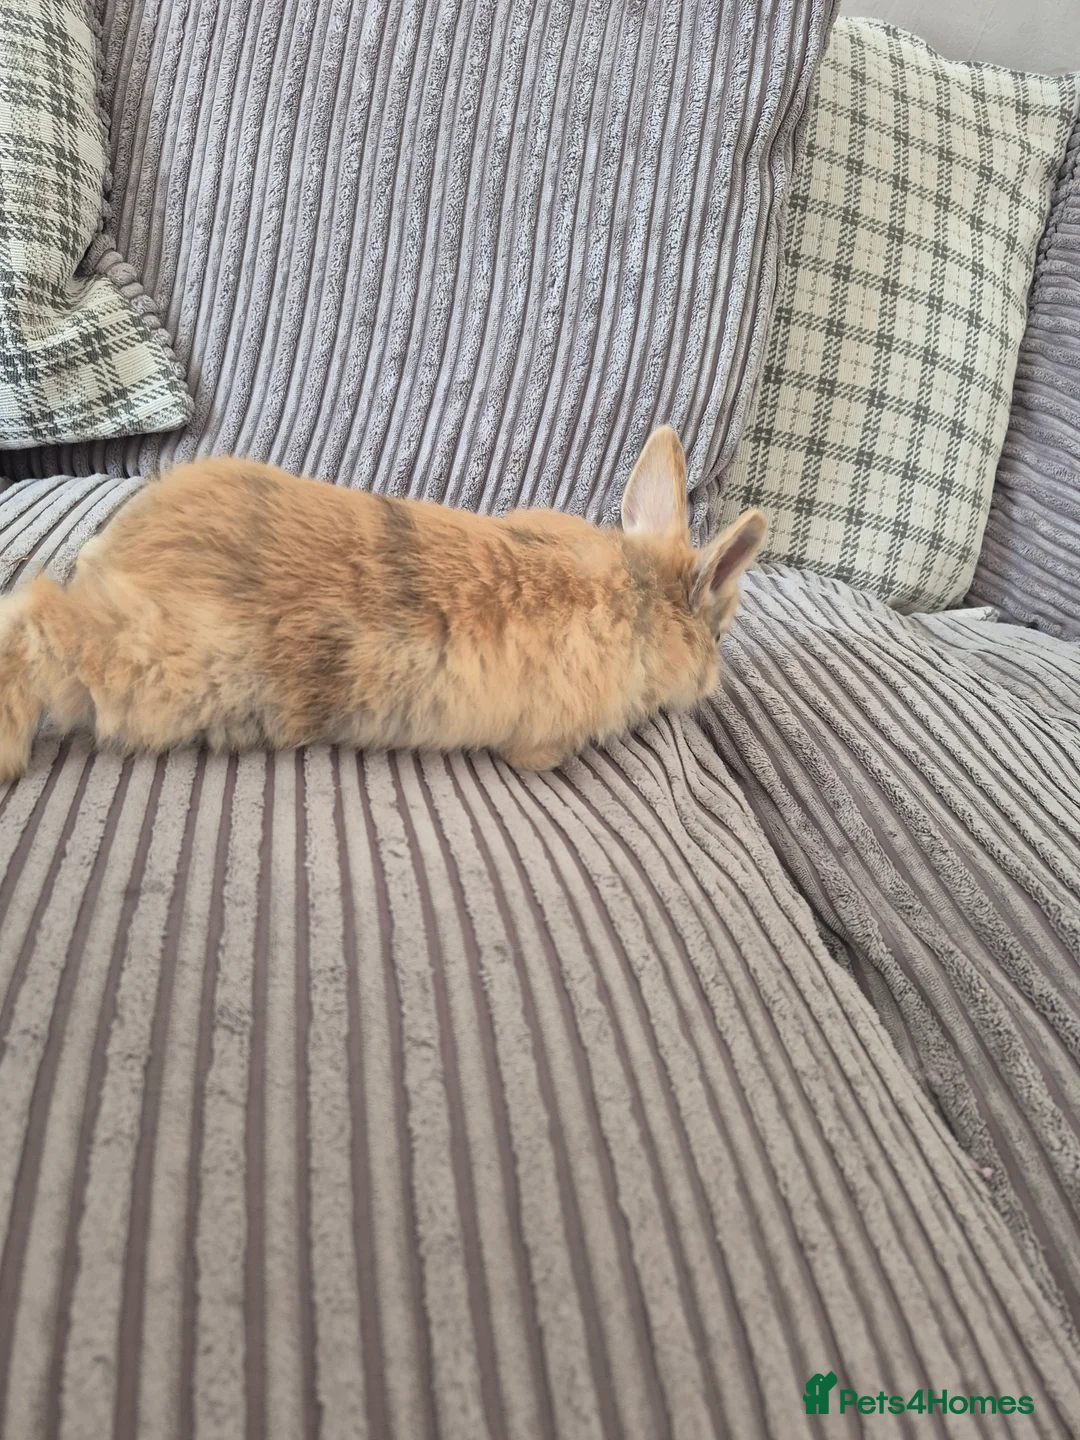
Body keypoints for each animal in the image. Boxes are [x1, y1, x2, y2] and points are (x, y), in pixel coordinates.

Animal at [0, 426, 766, 784]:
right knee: (30, 622)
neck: (638, 592)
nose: (715, 682)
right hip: (145, 667)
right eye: (720, 635)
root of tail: (118, 549)